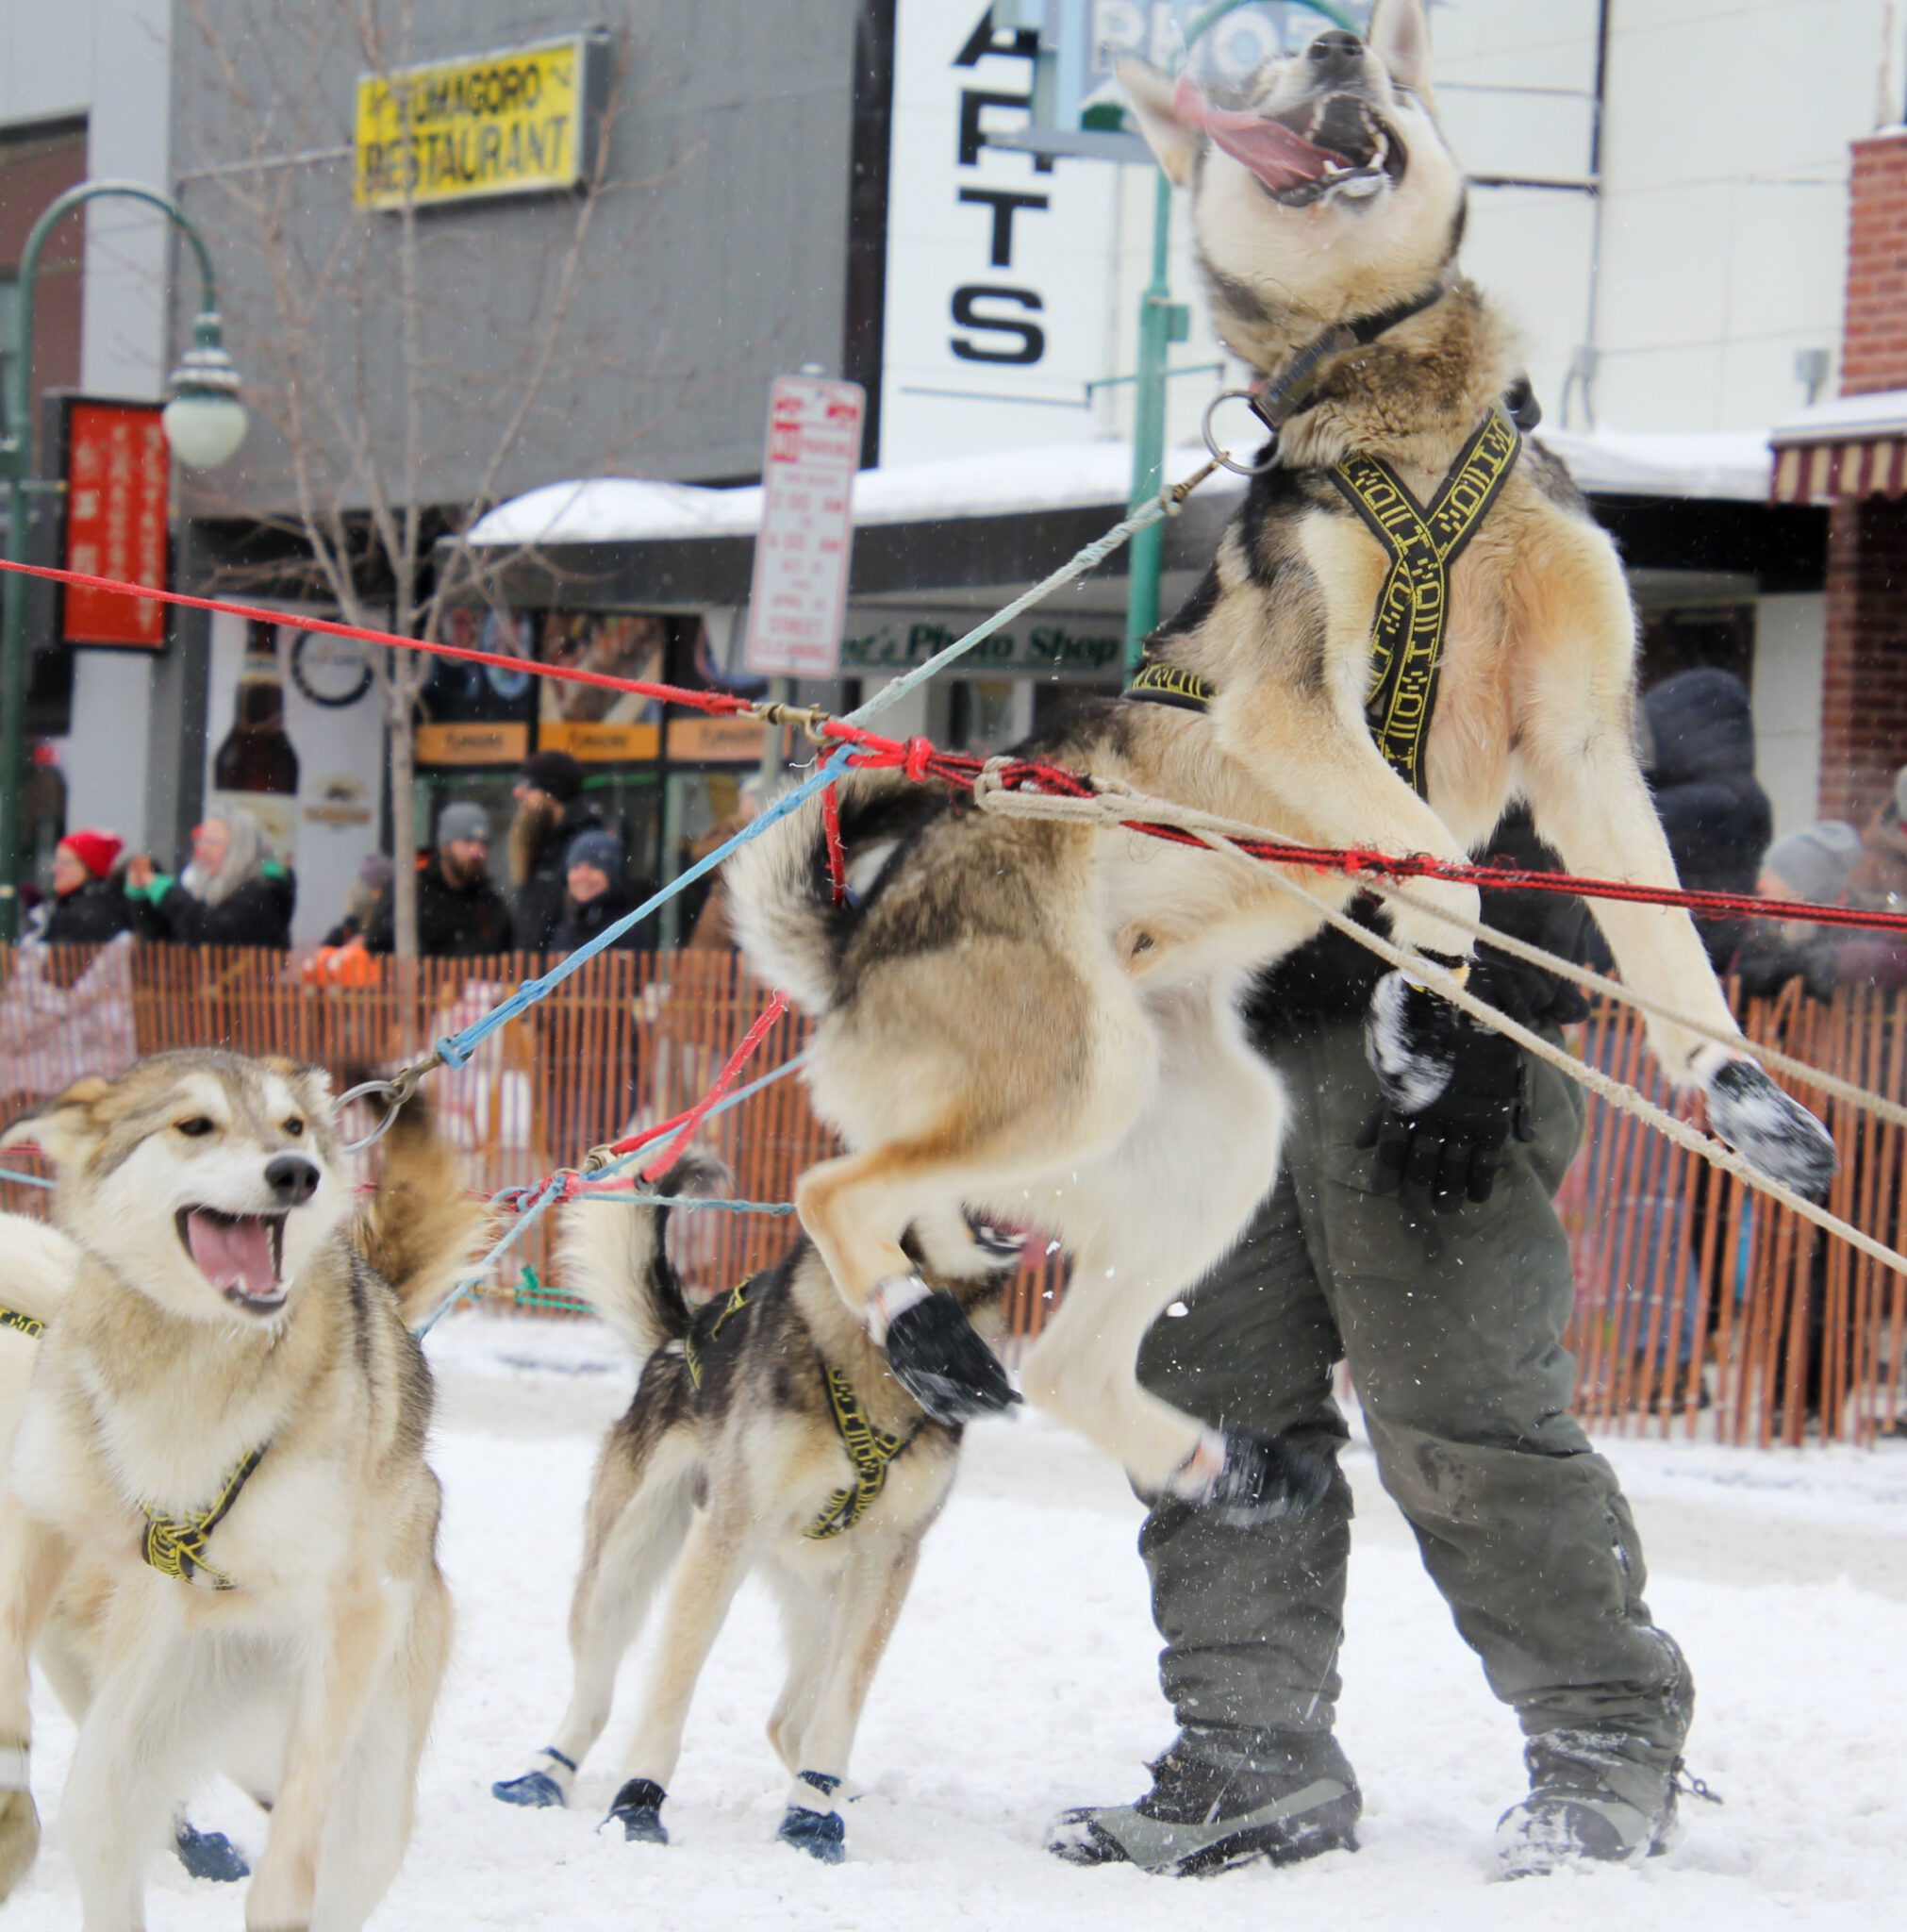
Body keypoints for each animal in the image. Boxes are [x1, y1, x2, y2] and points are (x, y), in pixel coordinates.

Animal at [0, 1058, 485, 1932]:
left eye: (293, 1127)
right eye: (194, 1125)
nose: (297, 1173)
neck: (193, 1367)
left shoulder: (355, 1609)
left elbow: (302, 1816)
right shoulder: (42, 1500)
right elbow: (6, 1649)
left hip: (368, 1792)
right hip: (127, 1744)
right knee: (105, 1823)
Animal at [492, 1151, 1020, 1862]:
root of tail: (681, 1333)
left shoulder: (890, 1556)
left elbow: (841, 1707)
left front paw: (812, 1817)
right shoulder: (727, 1534)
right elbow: (671, 1690)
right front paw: (637, 1805)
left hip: (826, 1602)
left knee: (790, 1718)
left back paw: (835, 1791)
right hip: (619, 1572)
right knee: (596, 1694)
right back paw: (547, 1774)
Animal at [726, 0, 1832, 1514]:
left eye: (1351, 45)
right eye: (1245, 71)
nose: (1328, 48)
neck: (1410, 417)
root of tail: (850, 951)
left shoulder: (1584, 745)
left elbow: (1667, 952)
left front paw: (1739, 1094)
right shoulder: (1297, 710)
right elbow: (1441, 869)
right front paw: (1419, 1011)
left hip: (1205, 1137)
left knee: (1058, 1353)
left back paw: (1212, 1460)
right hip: (1070, 1074)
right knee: (832, 1193)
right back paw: (923, 1332)